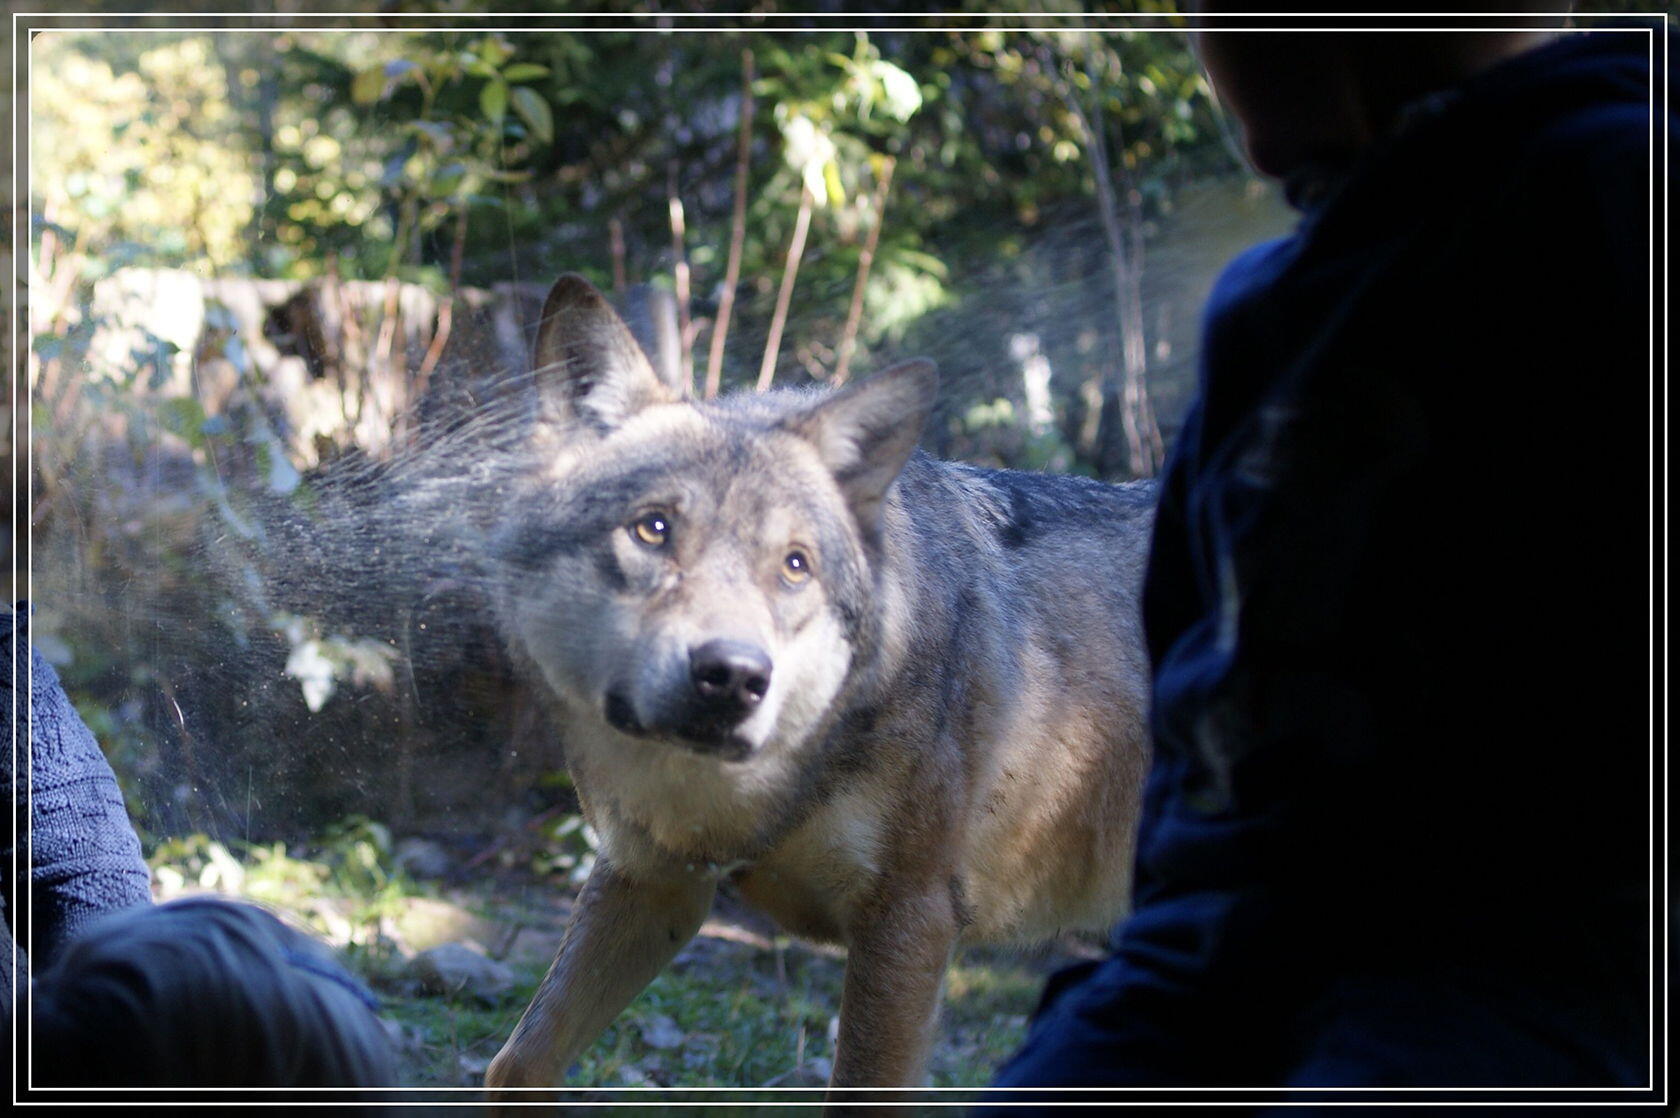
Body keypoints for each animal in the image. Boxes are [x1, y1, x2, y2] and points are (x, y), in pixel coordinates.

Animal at [480, 277, 1149, 1096]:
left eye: (795, 566)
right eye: (653, 529)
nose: (733, 676)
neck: (731, 799)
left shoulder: (909, 921)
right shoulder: (650, 880)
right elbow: (518, 1061)